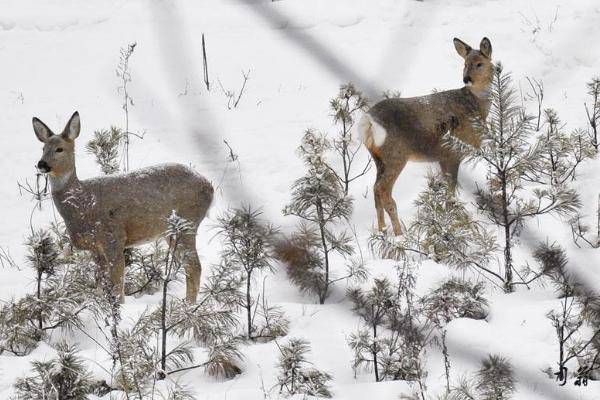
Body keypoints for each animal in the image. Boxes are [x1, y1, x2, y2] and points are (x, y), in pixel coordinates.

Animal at [32, 111, 214, 302]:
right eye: (43, 149)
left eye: (59, 149)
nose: (41, 164)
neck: (83, 204)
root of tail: (209, 186)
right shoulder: (96, 248)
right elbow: (100, 285)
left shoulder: (114, 237)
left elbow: (118, 287)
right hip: (171, 231)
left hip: (187, 222)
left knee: (194, 266)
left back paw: (189, 305)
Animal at [358, 36, 494, 234]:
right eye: (465, 63)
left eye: (479, 63)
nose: (466, 79)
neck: (475, 107)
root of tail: (368, 123)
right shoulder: (453, 153)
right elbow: (451, 191)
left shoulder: (442, 157)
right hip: (395, 155)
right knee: (384, 191)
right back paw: (399, 233)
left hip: (378, 159)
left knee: (376, 191)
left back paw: (382, 230)